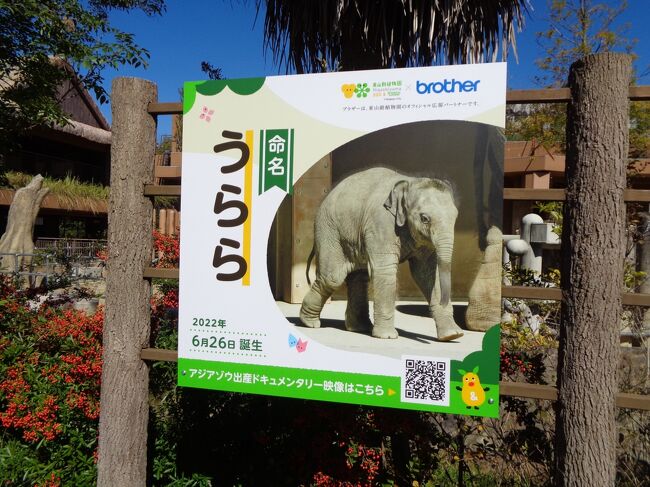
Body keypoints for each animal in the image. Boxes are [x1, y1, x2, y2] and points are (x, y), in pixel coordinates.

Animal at [302, 168, 464, 344]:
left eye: (456, 216)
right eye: (424, 218)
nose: (444, 302)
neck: (410, 182)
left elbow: (427, 274)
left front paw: (453, 335)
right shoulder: (381, 223)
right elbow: (385, 271)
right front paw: (387, 336)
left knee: (359, 277)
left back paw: (359, 328)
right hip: (329, 231)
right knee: (332, 278)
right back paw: (309, 322)